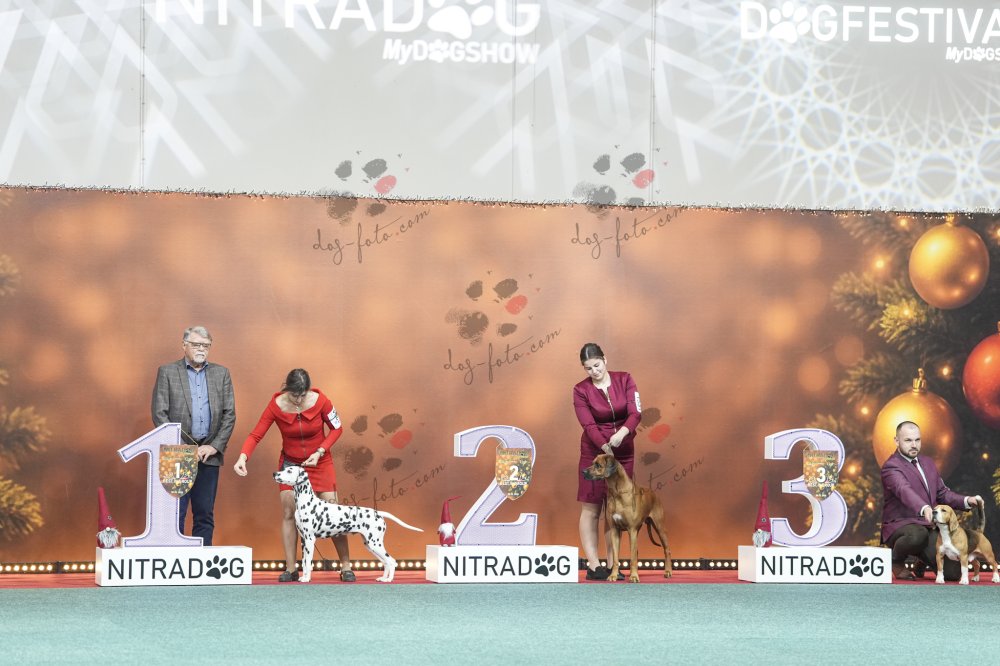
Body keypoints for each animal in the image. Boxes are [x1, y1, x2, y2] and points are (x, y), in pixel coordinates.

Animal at [273, 466, 423, 582]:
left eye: (289, 471)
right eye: (284, 468)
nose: (274, 473)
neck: (305, 501)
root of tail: (378, 513)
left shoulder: (310, 539)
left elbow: (308, 563)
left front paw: (306, 578)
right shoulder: (304, 540)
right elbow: (304, 563)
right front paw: (303, 577)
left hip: (375, 543)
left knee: (391, 561)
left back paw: (389, 579)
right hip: (370, 545)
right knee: (386, 562)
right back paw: (383, 578)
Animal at [582, 453, 672, 582]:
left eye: (598, 465)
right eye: (593, 462)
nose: (583, 471)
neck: (617, 492)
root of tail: (654, 493)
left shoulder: (632, 530)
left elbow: (633, 557)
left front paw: (634, 577)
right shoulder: (614, 531)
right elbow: (615, 558)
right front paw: (613, 575)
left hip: (659, 527)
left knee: (666, 550)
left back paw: (668, 572)